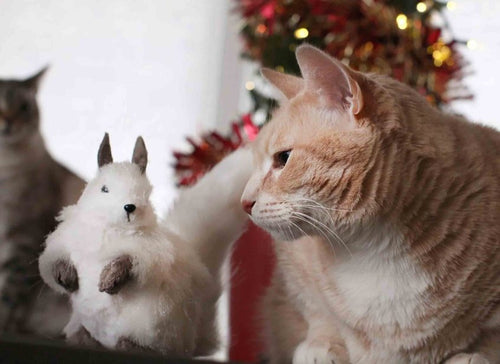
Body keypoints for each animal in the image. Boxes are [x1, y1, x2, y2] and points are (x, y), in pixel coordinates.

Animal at [240, 46, 498, 364]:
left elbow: (490, 338)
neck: (373, 247)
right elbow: (317, 312)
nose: (244, 202)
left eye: (283, 159)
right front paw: (321, 345)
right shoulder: (293, 275)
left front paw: (472, 355)